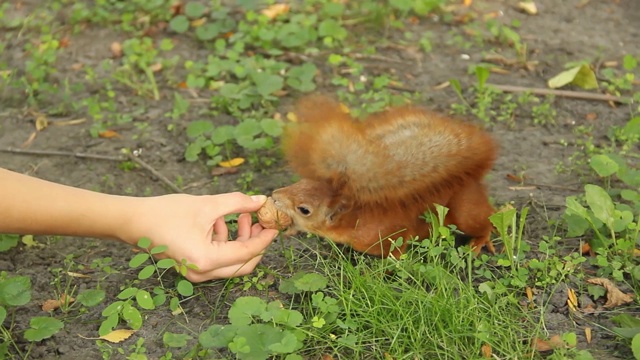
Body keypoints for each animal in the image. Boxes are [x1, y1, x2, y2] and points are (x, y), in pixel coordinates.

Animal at [258, 95, 498, 258]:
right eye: (301, 182)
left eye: (304, 209)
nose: (275, 195)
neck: (354, 220)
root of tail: (472, 180)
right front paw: (289, 229)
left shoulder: (391, 233)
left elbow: (399, 248)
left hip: (465, 211)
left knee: (486, 220)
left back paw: (480, 240)